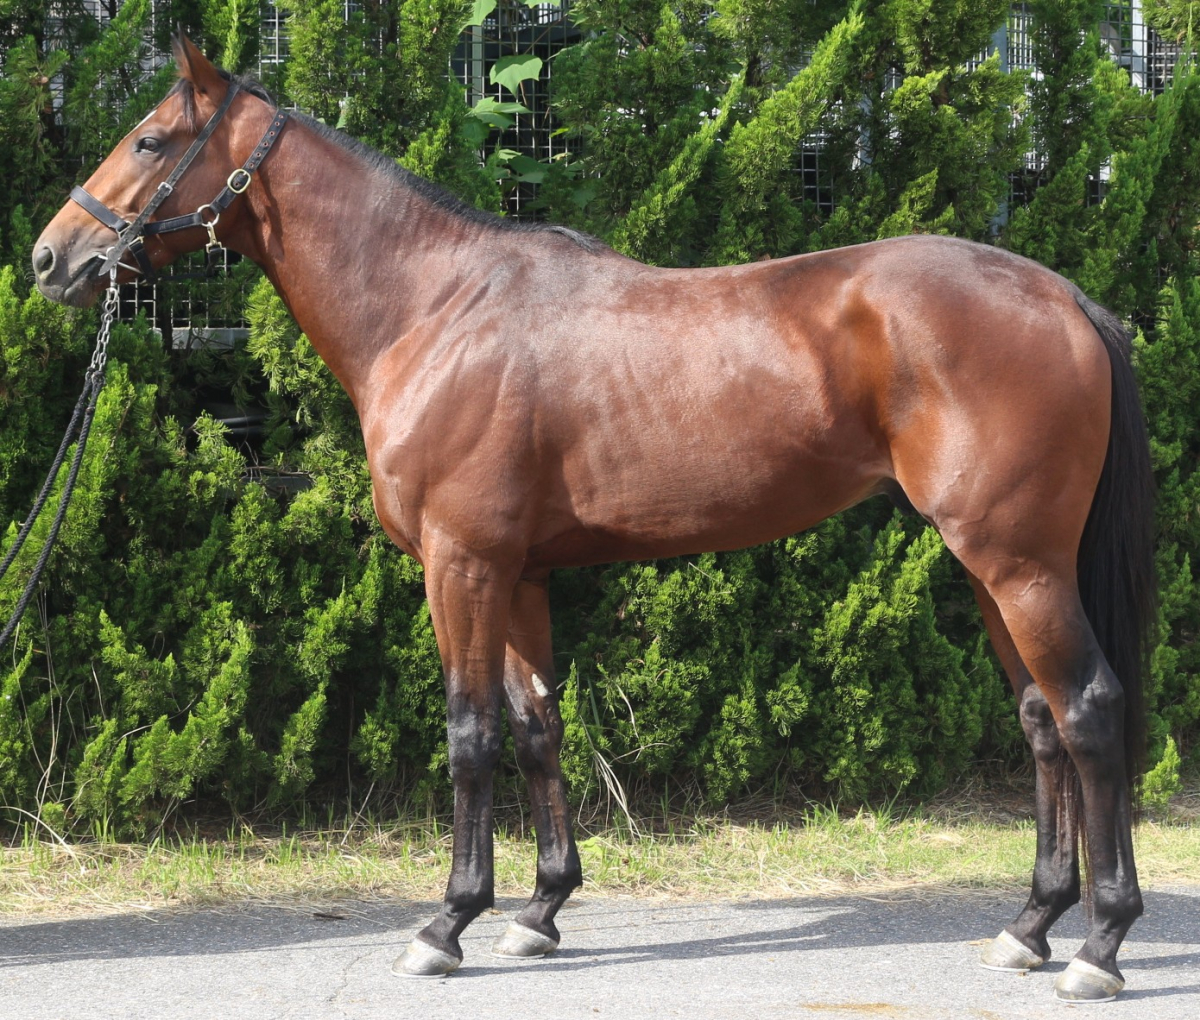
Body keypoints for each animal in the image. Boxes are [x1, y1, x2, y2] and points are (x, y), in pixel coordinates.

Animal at [33, 36, 1155, 1002]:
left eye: (149, 140)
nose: (51, 259)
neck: (434, 309)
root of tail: (1065, 299)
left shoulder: (463, 565)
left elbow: (471, 733)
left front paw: (448, 924)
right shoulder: (519, 572)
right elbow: (537, 729)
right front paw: (539, 912)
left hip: (1019, 564)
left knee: (1091, 711)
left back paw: (1098, 945)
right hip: (991, 567)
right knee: (1043, 722)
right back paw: (1030, 926)